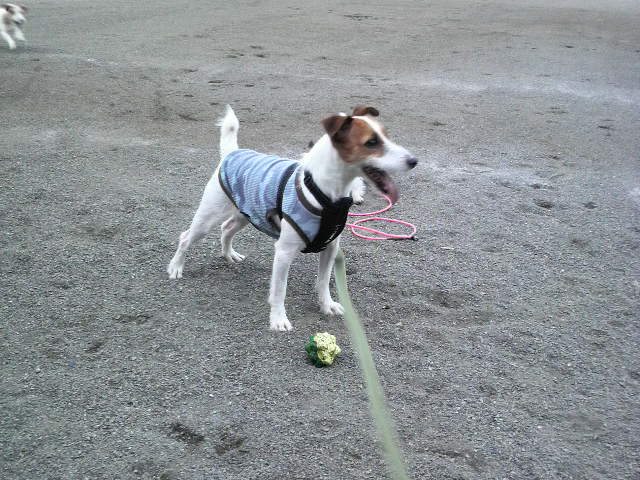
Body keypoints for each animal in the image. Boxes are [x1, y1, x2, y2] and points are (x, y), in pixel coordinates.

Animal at [167, 105, 417, 331]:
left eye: (386, 135)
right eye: (371, 142)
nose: (414, 160)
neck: (326, 195)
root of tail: (232, 152)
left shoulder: (331, 248)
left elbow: (324, 282)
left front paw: (326, 305)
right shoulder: (284, 252)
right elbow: (280, 290)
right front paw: (278, 319)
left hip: (246, 214)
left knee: (226, 229)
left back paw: (229, 254)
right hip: (209, 216)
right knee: (186, 237)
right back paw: (176, 267)